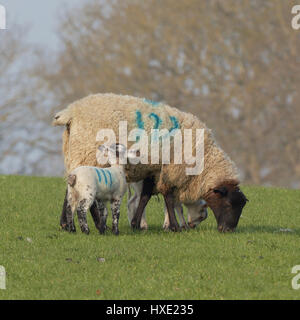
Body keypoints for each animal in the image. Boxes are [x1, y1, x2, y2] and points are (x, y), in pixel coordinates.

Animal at [54, 92, 248, 232]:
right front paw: (174, 227)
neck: (205, 158)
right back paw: (96, 225)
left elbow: (146, 197)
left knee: (70, 188)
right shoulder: (170, 170)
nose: (228, 230)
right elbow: (168, 197)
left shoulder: (153, 170)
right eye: (229, 204)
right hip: (87, 154)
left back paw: (67, 225)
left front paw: (136, 224)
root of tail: (70, 112)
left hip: (76, 155)